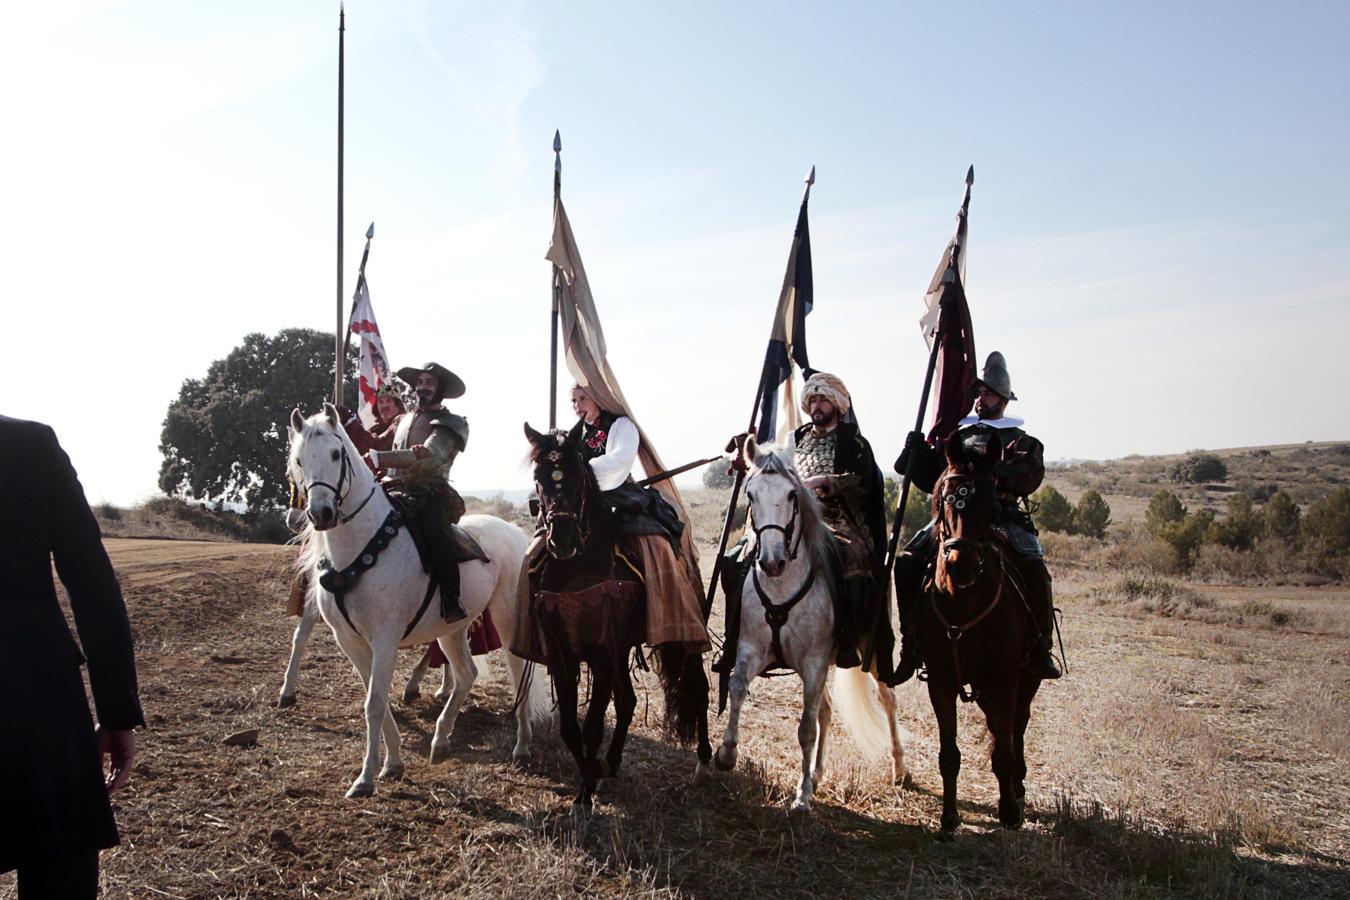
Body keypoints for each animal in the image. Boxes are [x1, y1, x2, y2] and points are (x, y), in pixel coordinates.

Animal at [287, 404, 545, 798]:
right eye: (299, 460)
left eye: (335, 454)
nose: (321, 514)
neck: (361, 547)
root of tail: (514, 532)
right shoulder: (350, 641)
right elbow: (376, 700)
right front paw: (392, 763)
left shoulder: (385, 638)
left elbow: (375, 704)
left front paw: (365, 777)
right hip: (452, 628)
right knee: (466, 673)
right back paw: (441, 740)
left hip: (505, 618)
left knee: (519, 673)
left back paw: (522, 745)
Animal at [521, 423, 712, 814]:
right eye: (538, 478)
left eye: (579, 475)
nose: (561, 539)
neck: (578, 573)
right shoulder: (565, 655)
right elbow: (569, 727)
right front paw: (591, 774)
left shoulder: (602, 654)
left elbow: (593, 725)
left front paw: (584, 794)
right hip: (622, 649)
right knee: (627, 703)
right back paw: (611, 765)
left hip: (681, 636)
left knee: (697, 688)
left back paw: (703, 761)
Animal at [718, 437, 907, 814]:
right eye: (751, 494)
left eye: (793, 495)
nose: (771, 562)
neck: (782, 587)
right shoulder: (751, 649)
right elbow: (736, 688)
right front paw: (726, 753)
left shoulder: (814, 662)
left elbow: (805, 727)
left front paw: (801, 796)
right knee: (826, 712)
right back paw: (817, 773)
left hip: (869, 652)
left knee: (887, 698)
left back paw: (899, 769)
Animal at [918, 429, 1042, 836]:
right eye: (947, 498)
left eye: (990, 502)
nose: (961, 566)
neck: (963, 603)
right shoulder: (941, 682)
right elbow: (949, 754)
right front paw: (948, 819)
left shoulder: (1004, 680)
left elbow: (1004, 750)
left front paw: (1009, 811)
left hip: (1026, 680)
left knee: (1017, 729)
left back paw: (1017, 787)